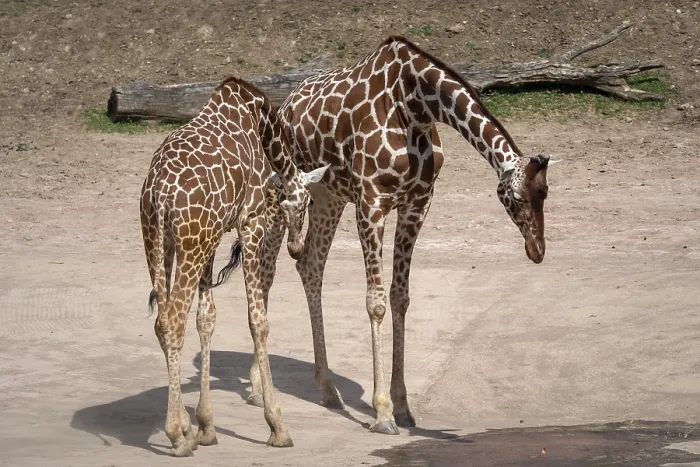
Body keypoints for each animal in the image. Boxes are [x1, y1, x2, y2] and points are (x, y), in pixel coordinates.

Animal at [139, 76, 328, 456]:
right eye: (308, 202)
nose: (296, 247)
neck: (262, 125)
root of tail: (160, 194)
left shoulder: (213, 238)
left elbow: (206, 319)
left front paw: (206, 426)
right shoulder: (250, 222)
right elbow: (258, 321)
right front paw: (277, 426)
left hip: (161, 241)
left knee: (163, 321)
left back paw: (184, 426)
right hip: (189, 244)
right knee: (173, 321)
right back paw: (176, 435)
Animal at [246, 36, 555, 435]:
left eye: (545, 193)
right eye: (516, 197)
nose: (537, 249)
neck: (415, 106)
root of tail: (284, 107)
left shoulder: (417, 203)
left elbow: (400, 297)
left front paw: (404, 407)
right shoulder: (371, 201)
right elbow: (375, 301)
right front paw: (382, 413)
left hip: (326, 195)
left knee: (310, 265)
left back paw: (328, 389)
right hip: (278, 196)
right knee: (266, 273)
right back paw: (256, 388)